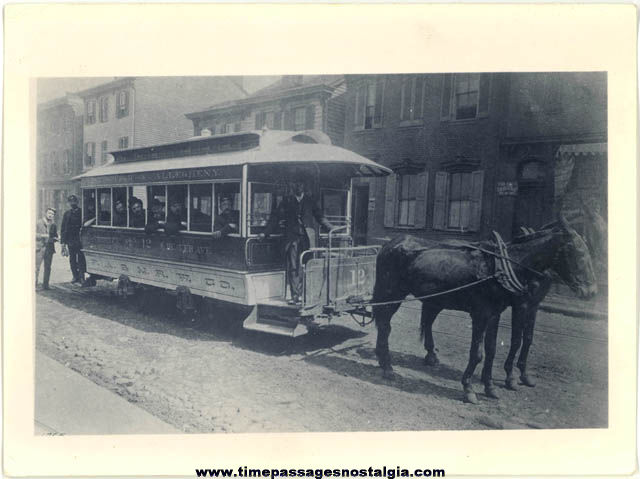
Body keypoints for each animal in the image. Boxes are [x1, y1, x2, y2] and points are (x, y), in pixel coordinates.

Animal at [372, 218, 596, 404]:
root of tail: (389, 244)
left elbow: (493, 349)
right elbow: (479, 352)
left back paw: (393, 359)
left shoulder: (496, 314)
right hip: (391, 294)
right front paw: (469, 388)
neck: (500, 269)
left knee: (411, 322)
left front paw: (490, 387)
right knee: (385, 325)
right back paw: (387, 366)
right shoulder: (484, 314)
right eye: (577, 253)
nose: (592, 292)